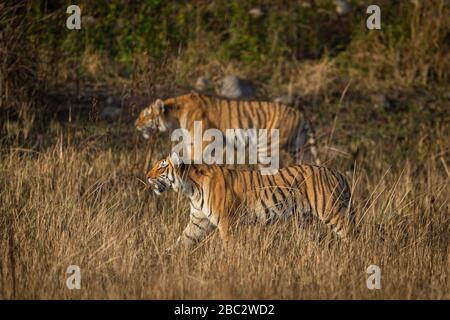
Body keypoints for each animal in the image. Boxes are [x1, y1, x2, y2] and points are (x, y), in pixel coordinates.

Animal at [134, 90, 320, 164]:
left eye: (145, 115)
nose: (135, 124)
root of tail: (302, 114)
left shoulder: (203, 141)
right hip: (296, 147)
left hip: (267, 147)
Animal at [147, 151, 356, 251]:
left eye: (161, 167)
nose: (147, 176)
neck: (190, 189)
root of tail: (337, 172)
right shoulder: (199, 221)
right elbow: (183, 240)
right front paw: (164, 256)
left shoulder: (227, 221)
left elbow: (229, 246)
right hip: (305, 221)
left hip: (332, 211)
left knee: (351, 235)